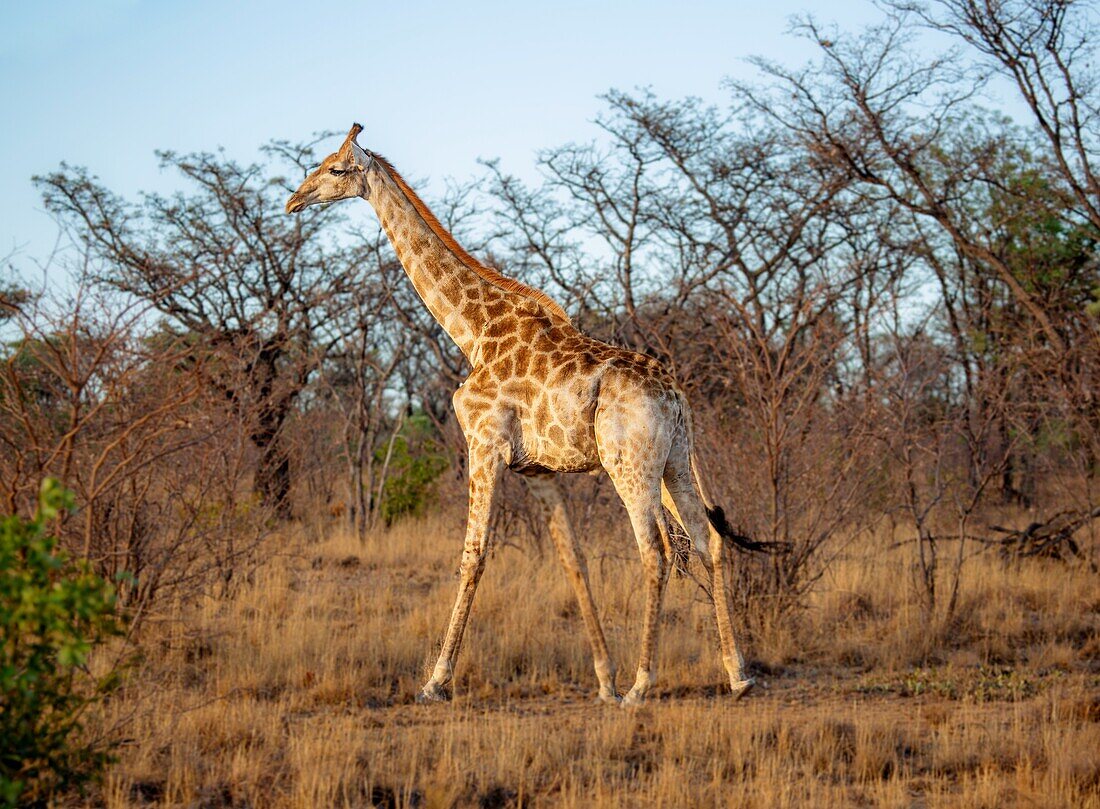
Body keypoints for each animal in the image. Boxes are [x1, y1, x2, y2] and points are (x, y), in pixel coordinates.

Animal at [286, 123, 756, 704]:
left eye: (334, 168)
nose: (294, 200)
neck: (472, 332)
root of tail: (677, 396)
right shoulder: (537, 470)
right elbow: (572, 559)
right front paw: (603, 679)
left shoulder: (484, 444)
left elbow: (473, 554)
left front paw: (436, 680)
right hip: (674, 460)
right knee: (708, 539)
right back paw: (736, 673)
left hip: (630, 464)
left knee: (656, 550)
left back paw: (643, 685)